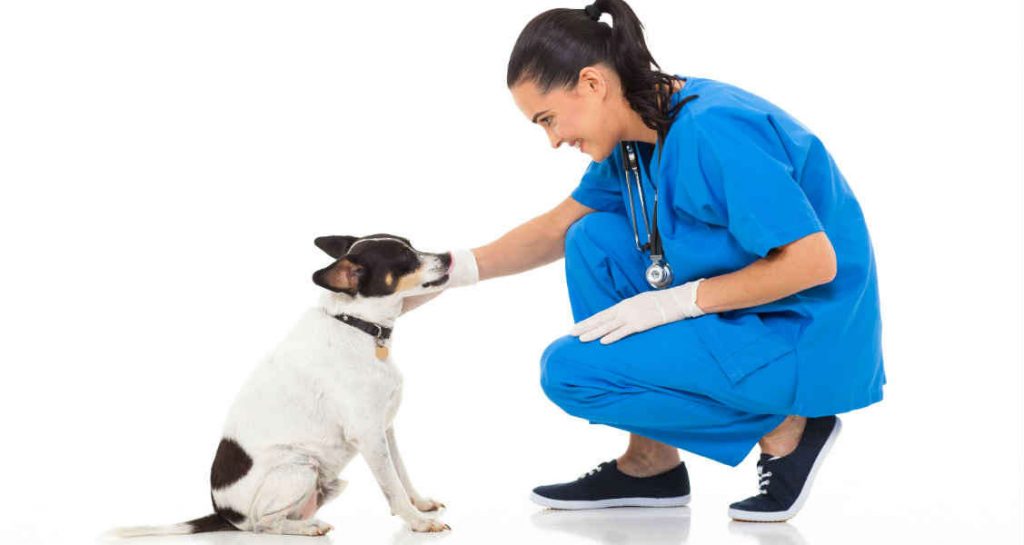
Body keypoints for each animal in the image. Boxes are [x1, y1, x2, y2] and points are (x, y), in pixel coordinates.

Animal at [109, 234, 456, 536]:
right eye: (406, 259)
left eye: (412, 245)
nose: (449, 256)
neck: (356, 325)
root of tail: (225, 515)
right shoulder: (368, 434)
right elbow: (392, 486)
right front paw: (417, 521)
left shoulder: (385, 429)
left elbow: (402, 474)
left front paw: (420, 505)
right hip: (301, 468)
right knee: (264, 524)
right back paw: (307, 528)